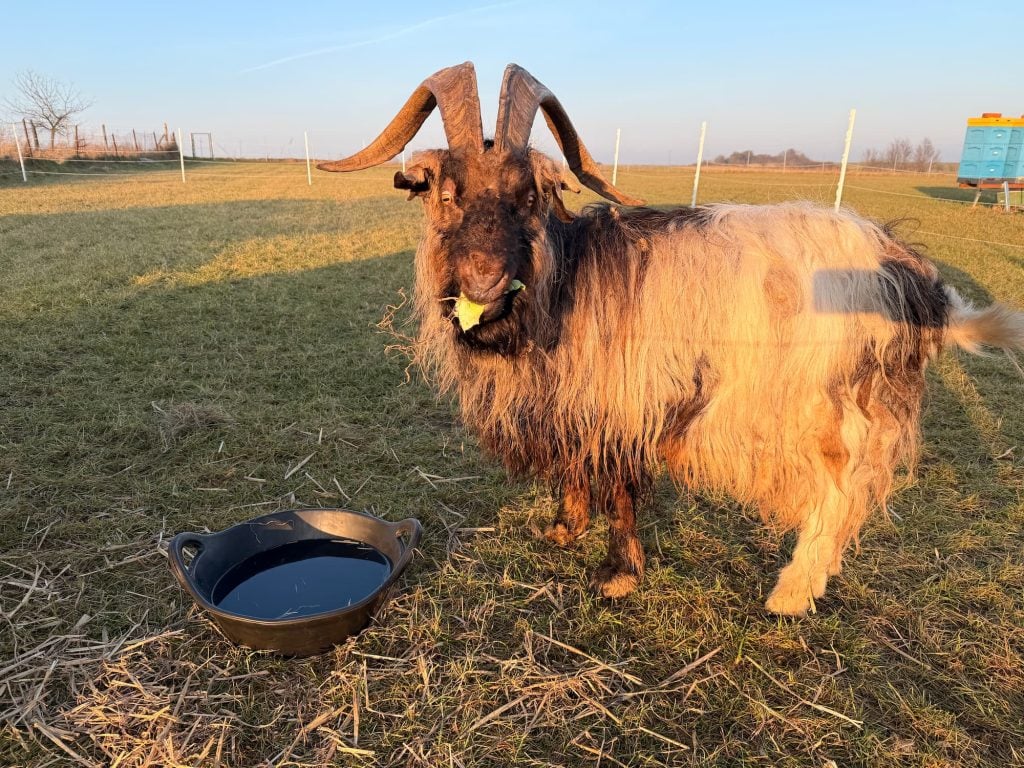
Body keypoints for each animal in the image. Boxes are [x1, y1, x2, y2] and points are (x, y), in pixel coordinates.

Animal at [319, 62, 1024, 615]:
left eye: (528, 195)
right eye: (445, 191)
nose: (484, 278)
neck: (563, 282)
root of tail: (915, 278)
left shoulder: (622, 404)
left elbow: (619, 488)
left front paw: (617, 575)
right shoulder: (576, 406)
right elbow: (576, 471)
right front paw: (564, 529)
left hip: (829, 409)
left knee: (838, 497)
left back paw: (791, 593)